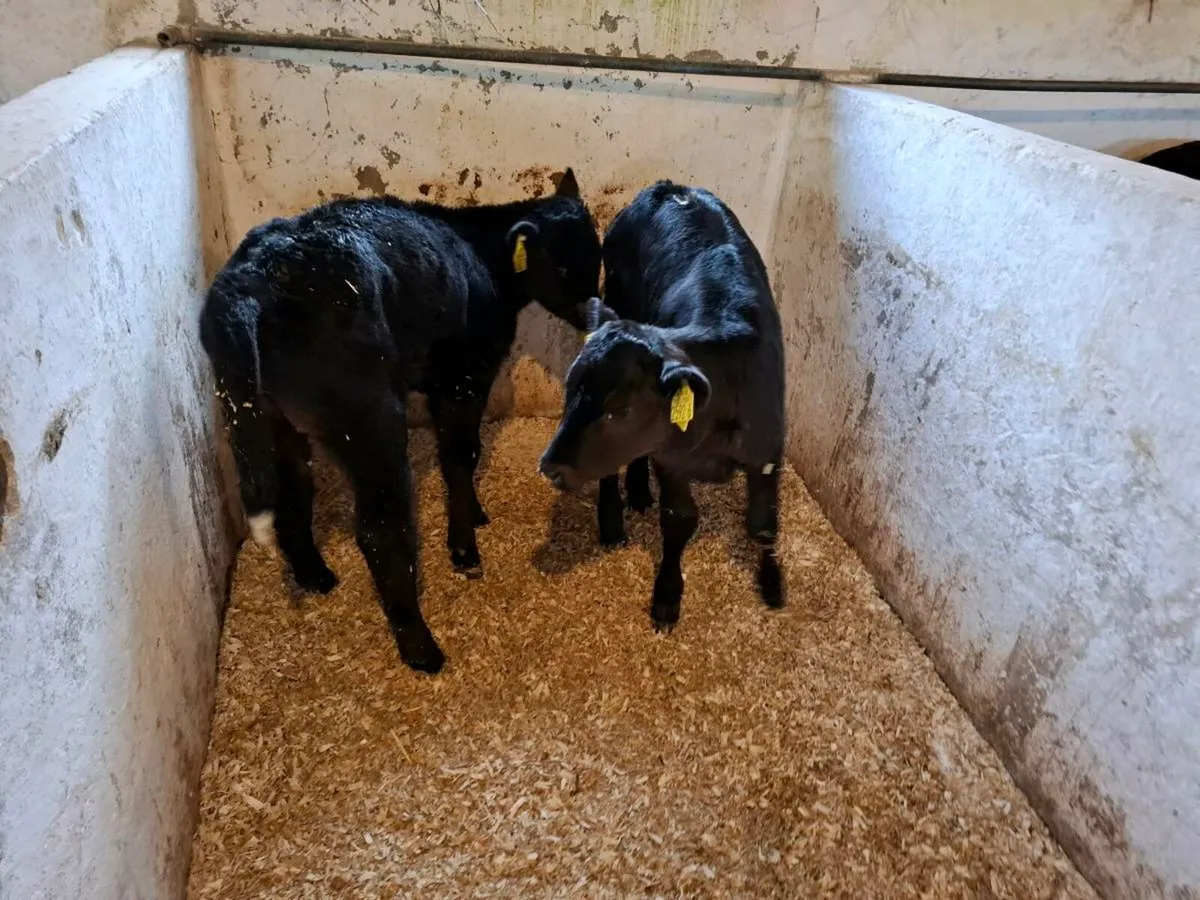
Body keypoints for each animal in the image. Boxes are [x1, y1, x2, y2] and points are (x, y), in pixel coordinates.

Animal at [200, 170, 601, 673]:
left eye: (598, 255)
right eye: (563, 269)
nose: (597, 313)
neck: (480, 253)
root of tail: (256, 278)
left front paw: (476, 515)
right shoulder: (463, 377)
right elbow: (461, 456)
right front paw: (464, 547)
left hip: (273, 418)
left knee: (293, 493)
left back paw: (316, 576)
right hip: (368, 420)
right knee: (380, 531)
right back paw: (421, 648)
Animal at [538, 180, 786, 630]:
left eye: (621, 410)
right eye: (569, 388)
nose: (550, 467)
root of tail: (670, 188)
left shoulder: (769, 449)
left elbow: (762, 524)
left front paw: (772, 582)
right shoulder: (671, 460)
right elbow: (679, 519)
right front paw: (667, 596)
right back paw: (614, 517)